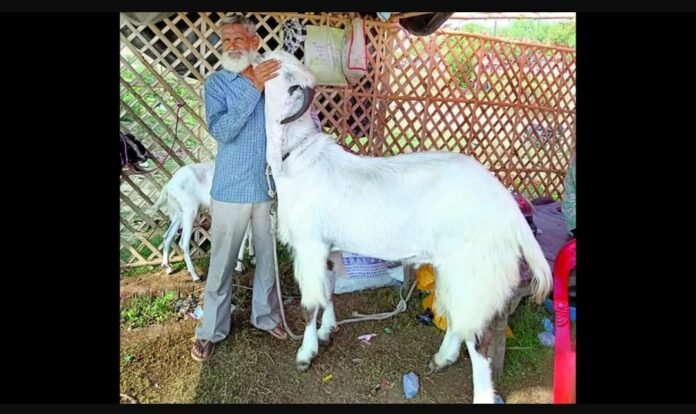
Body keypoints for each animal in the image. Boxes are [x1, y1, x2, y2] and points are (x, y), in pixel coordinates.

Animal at [258, 51, 552, 404]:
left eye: (278, 71)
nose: (260, 53)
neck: (297, 158)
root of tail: (508, 207)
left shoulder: (309, 245)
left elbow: (310, 304)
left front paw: (305, 354)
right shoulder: (328, 247)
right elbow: (328, 292)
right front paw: (328, 331)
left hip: (476, 270)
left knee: (478, 337)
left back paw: (480, 391)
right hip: (457, 269)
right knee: (458, 317)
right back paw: (442, 359)